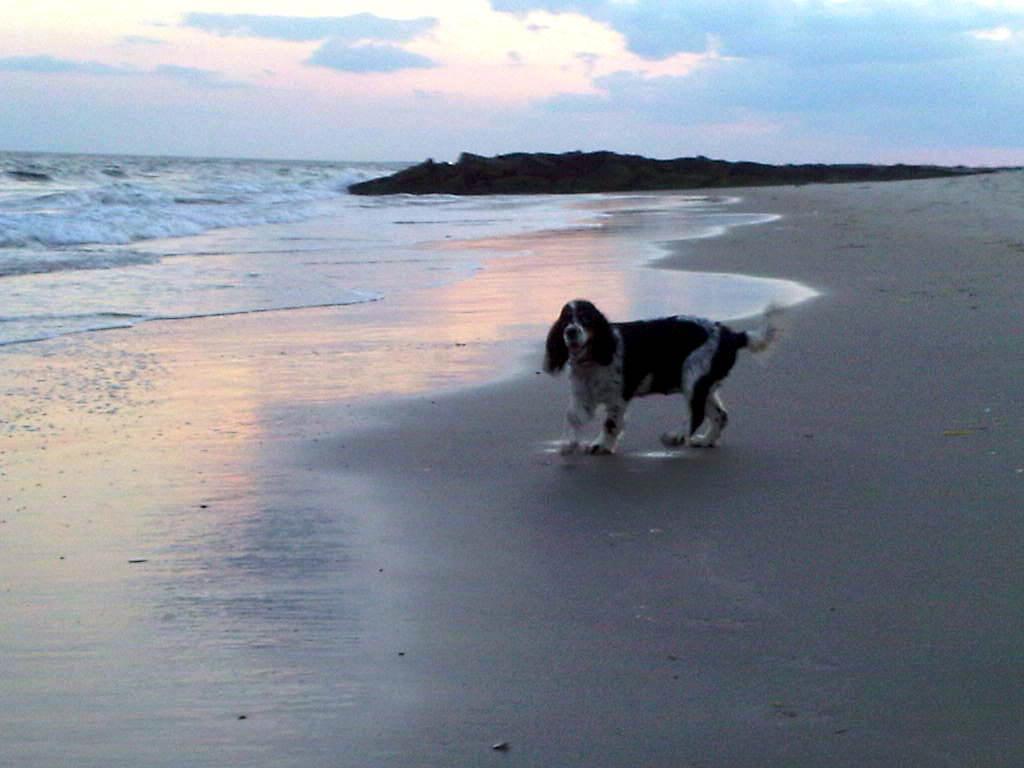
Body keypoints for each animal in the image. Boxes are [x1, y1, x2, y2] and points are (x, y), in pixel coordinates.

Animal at [544, 299, 774, 456]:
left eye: (586, 319)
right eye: (565, 320)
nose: (571, 332)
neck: (593, 358)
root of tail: (732, 335)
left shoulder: (617, 398)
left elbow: (610, 423)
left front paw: (601, 445)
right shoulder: (582, 394)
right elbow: (572, 417)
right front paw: (568, 444)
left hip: (693, 377)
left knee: (697, 414)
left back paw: (676, 437)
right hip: (703, 385)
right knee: (720, 415)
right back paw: (706, 440)